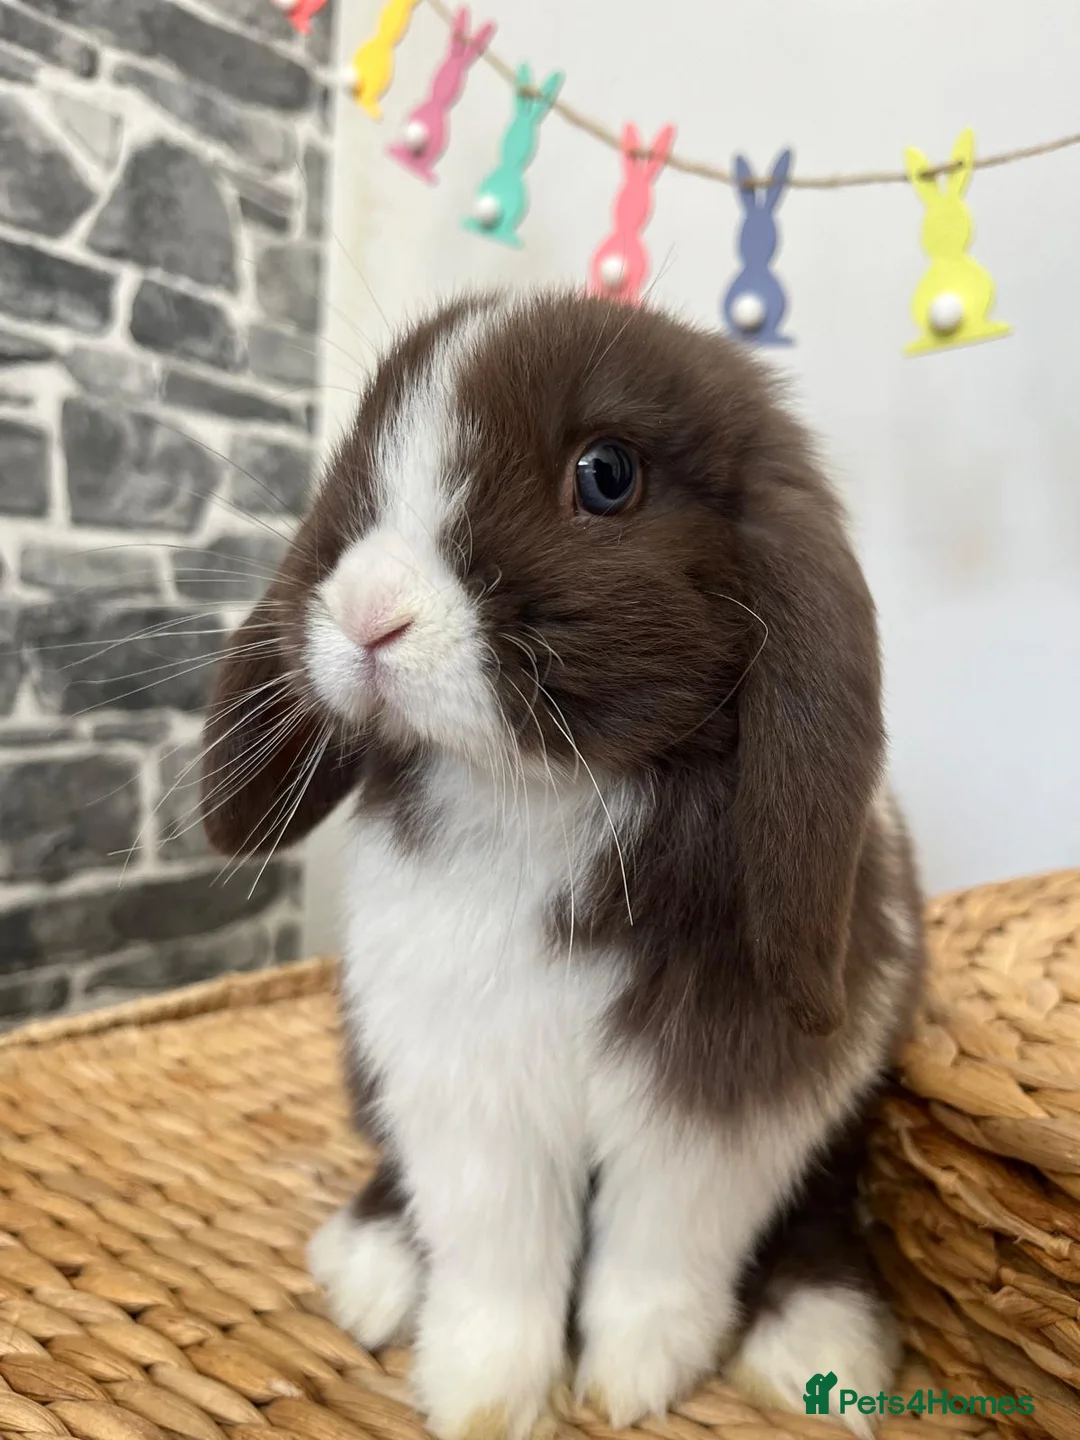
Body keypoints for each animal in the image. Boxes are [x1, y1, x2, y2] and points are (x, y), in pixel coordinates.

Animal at [201, 291, 925, 1440]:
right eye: (361, 464)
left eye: (607, 474)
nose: (367, 612)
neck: (543, 794)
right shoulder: (464, 1091)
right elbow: (498, 1256)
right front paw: (485, 1399)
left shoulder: (718, 1109)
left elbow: (662, 1250)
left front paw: (631, 1383)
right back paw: (367, 1267)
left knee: (815, 1220)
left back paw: (817, 1347)